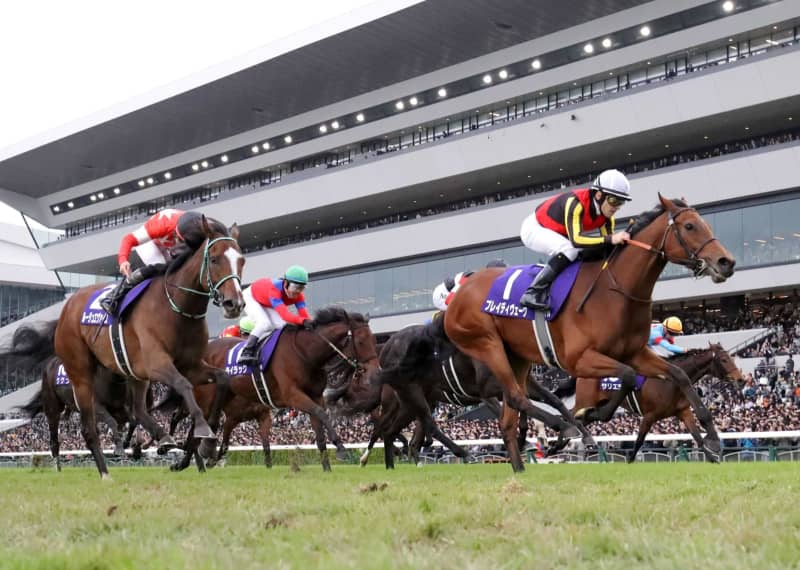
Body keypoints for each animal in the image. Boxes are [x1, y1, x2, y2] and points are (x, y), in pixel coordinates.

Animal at [20, 215, 242, 478]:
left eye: (241, 260)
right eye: (215, 259)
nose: (234, 304)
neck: (178, 308)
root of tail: (67, 306)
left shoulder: (191, 365)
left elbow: (223, 378)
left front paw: (208, 439)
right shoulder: (158, 364)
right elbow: (183, 385)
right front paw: (202, 429)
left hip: (135, 374)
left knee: (138, 410)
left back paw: (160, 439)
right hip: (80, 376)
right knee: (88, 428)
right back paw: (105, 472)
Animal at [180, 306, 382, 470]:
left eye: (374, 340)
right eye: (361, 342)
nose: (376, 373)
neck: (305, 353)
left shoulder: (314, 396)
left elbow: (317, 431)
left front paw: (327, 468)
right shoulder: (293, 395)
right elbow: (322, 414)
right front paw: (342, 450)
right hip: (207, 400)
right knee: (196, 428)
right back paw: (190, 460)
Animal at [572, 342, 740, 458]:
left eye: (731, 358)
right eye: (724, 360)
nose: (741, 378)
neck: (670, 382)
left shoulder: (684, 412)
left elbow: (697, 437)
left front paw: (714, 459)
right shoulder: (649, 415)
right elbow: (638, 442)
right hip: (585, 401)